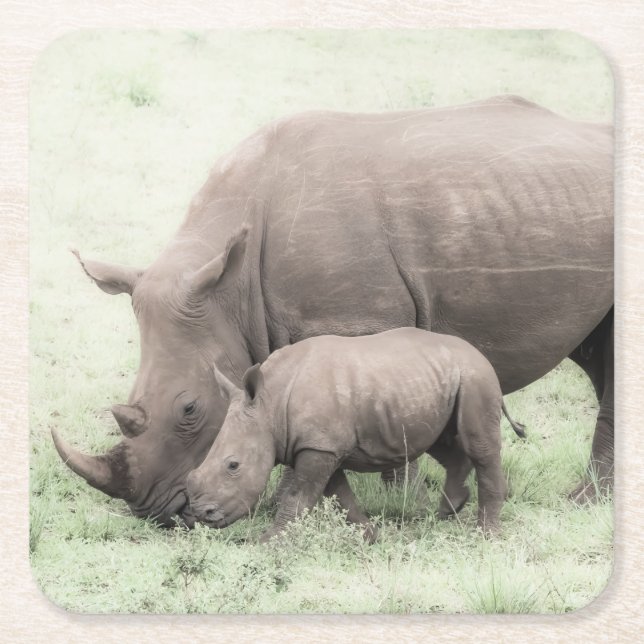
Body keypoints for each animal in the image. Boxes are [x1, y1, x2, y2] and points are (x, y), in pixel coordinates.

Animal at [187, 328, 519, 541]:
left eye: (233, 466)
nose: (203, 514)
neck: (270, 405)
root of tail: (479, 354)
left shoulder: (319, 447)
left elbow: (299, 497)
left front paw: (269, 542)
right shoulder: (321, 446)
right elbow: (339, 496)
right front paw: (370, 536)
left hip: (476, 377)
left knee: (479, 447)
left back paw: (486, 535)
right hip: (442, 379)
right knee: (442, 442)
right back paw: (447, 510)